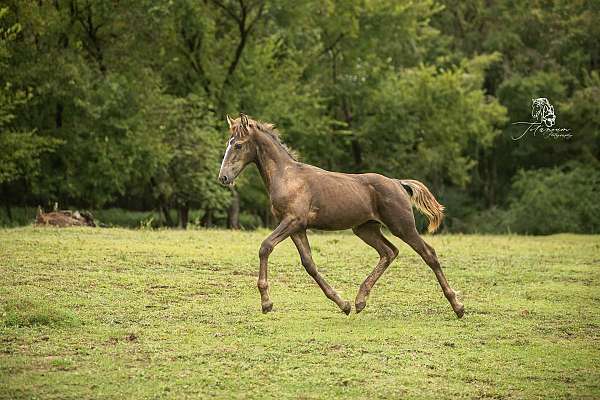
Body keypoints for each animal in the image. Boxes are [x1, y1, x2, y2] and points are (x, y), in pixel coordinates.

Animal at [219, 113, 464, 318]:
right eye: (228, 144)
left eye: (238, 145)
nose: (223, 177)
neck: (287, 176)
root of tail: (397, 183)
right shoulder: (297, 227)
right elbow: (309, 264)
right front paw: (343, 304)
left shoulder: (293, 221)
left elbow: (265, 246)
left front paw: (266, 303)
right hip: (365, 228)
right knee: (389, 252)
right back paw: (359, 301)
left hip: (402, 226)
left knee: (428, 254)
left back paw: (458, 306)